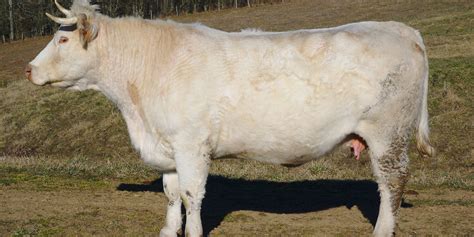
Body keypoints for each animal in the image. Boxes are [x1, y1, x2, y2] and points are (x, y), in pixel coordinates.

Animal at [25, 0, 434, 236]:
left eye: (62, 40)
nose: (29, 69)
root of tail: (400, 29)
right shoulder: (169, 146)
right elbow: (171, 194)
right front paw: (168, 230)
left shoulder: (192, 144)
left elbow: (192, 194)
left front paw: (192, 231)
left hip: (388, 134)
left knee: (392, 184)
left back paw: (382, 231)